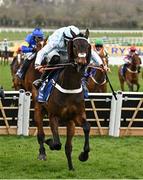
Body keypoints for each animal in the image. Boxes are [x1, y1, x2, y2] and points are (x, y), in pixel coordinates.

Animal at [32, 29, 91, 170]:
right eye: (74, 46)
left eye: (87, 46)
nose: (81, 62)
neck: (69, 86)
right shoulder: (54, 116)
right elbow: (57, 143)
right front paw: (50, 141)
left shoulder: (76, 116)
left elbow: (87, 127)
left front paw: (83, 156)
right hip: (38, 109)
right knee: (41, 134)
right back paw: (42, 153)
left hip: (69, 122)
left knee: (68, 146)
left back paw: (71, 166)